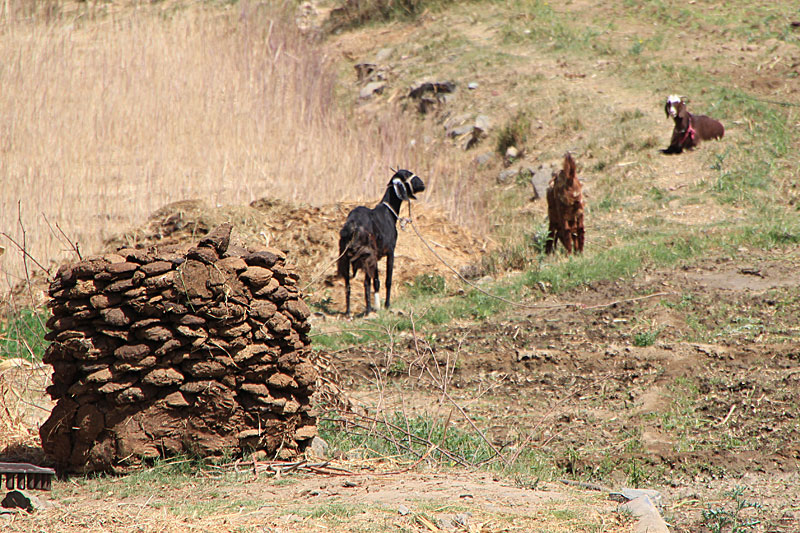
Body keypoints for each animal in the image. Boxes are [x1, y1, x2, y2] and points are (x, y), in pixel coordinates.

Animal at [336, 168, 424, 314]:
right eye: (407, 174)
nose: (422, 185)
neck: (388, 213)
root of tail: (353, 224)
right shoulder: (390, 251)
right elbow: (388, 280)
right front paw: (387, 305)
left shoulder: (376, 257)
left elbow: (376, 280)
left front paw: (377, 306)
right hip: (366, 254)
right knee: (366, 282)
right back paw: (367, 310)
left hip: (345, 257)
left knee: (347, 284)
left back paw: (348, 311)